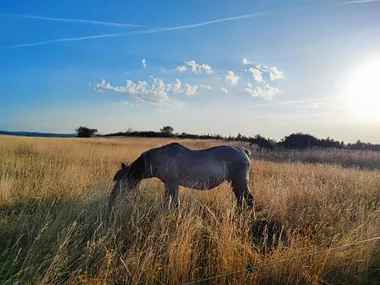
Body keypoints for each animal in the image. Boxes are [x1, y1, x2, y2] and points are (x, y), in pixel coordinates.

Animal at [108, 142, 254, 213]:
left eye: (119, 179)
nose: (112, 197)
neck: (158, 158)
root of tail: (243, 151)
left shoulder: (173, 184)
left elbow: (173, 203)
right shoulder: (169, 184)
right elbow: (168, 202)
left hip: (240, 182)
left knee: (249, 199)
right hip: (235, 183)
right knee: (240, 199)